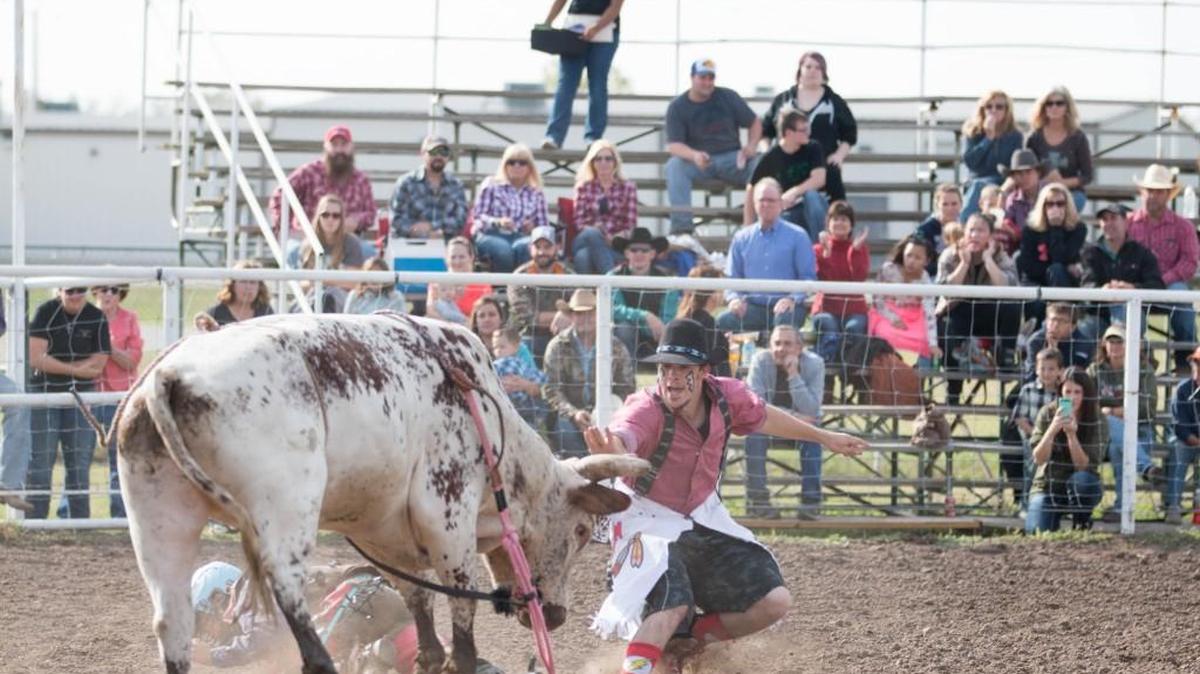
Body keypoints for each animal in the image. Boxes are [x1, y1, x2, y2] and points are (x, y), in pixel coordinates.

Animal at [112, 312, 649, 673]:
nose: (554, 616)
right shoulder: (446, 511)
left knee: (173, 623)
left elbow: (419, 607)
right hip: (285, 508)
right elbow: (460, 612)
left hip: (158, 519)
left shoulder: (381, 532)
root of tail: (170, 375)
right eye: (580, 530)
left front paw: (428, 653)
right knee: (290, 595)